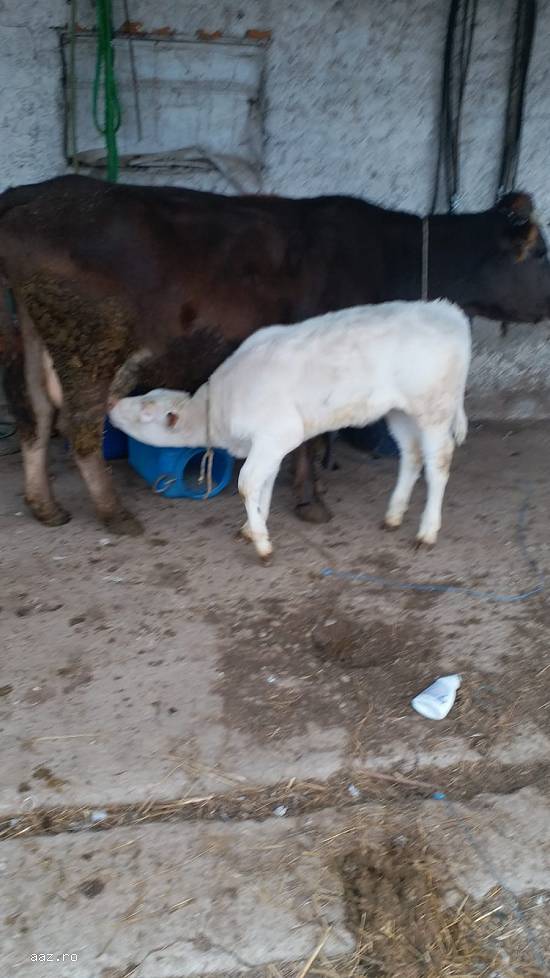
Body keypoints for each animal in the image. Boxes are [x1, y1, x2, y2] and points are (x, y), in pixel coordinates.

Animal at [0, 175, 549, 535]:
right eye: (541, 254)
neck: (395, 256)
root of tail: (25, 195)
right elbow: (311, 439)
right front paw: (310, 501)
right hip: (89, 344)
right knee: (79, 427)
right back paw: (114, 513)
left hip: (27, 336)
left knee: (35, 417)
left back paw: (44, 505)